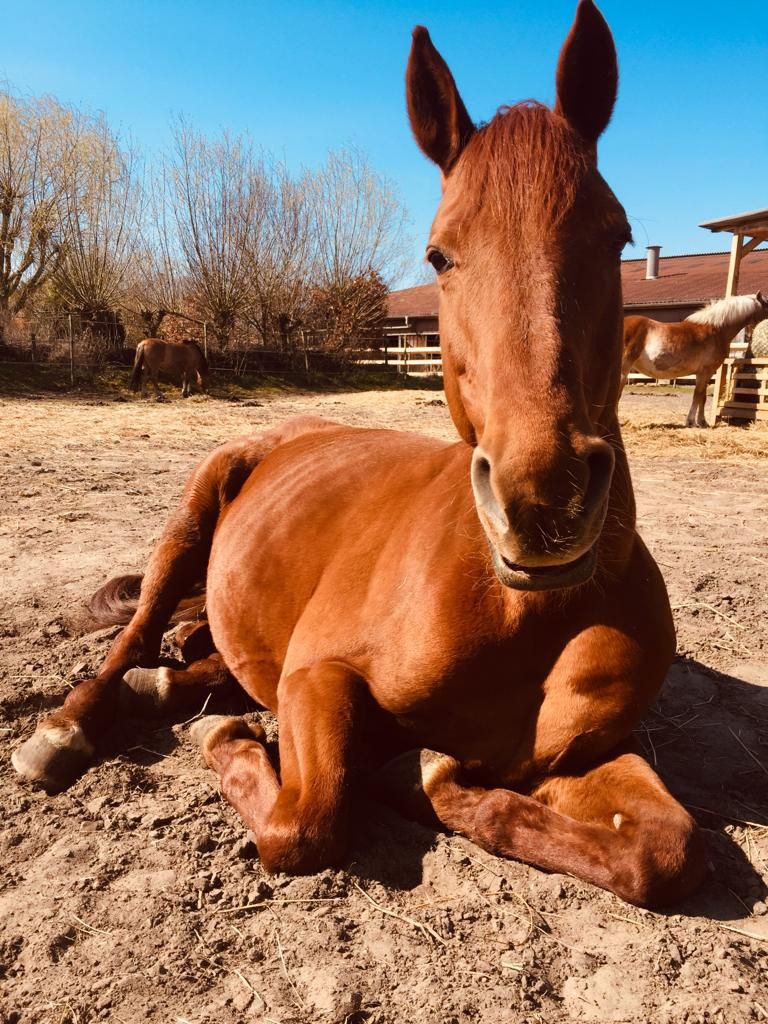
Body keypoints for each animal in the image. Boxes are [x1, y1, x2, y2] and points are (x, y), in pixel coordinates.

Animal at [12, 0, 709, 908]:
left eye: (616, 235)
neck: (516, 617)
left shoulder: (577, 756)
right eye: (439, 253)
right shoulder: (318, 679)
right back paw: (71, 725)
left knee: (197, 653)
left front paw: (425, 777)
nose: (543, 496)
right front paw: (237, 744)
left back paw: (169, 682)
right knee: (138, 630)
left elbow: (662, 849)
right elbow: (305, 823)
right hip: (191, 520)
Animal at [622, 292, 768, 427]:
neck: (716, 329)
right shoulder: (706, 371)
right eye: (767, 306)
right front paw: (692, 421)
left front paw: (702, 422)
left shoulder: (703, 373)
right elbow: (698, 395)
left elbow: (702, 397)